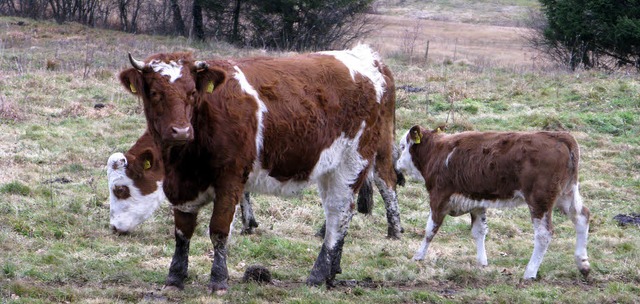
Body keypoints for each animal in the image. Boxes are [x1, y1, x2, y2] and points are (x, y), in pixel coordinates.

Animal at [119, 45, 400, 292]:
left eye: (191, 93)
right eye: (155, 93)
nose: (181, 130)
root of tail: (367, 58)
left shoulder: (230, 179)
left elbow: (219, 229)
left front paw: (218, 280)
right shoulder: (180, 185)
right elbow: (182, 230)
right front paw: (175, 277)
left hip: (354, 161)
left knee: (339, 213)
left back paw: (319, 274)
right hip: (329, 168)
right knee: (341, 213)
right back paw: (331, 273)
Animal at [398, 124, 592, 280]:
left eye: (402, 146)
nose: (397, 164)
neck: (438, 152)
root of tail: (559, 136)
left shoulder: (439, 197)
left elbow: (430, 229)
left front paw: (418, 256)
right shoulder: (476, 201)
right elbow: (479, 231)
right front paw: (482, 262)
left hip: (540, 198)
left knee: (544, 234)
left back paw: (530, 273)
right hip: (566, 193)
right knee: (582, 217)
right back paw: (583, 264)